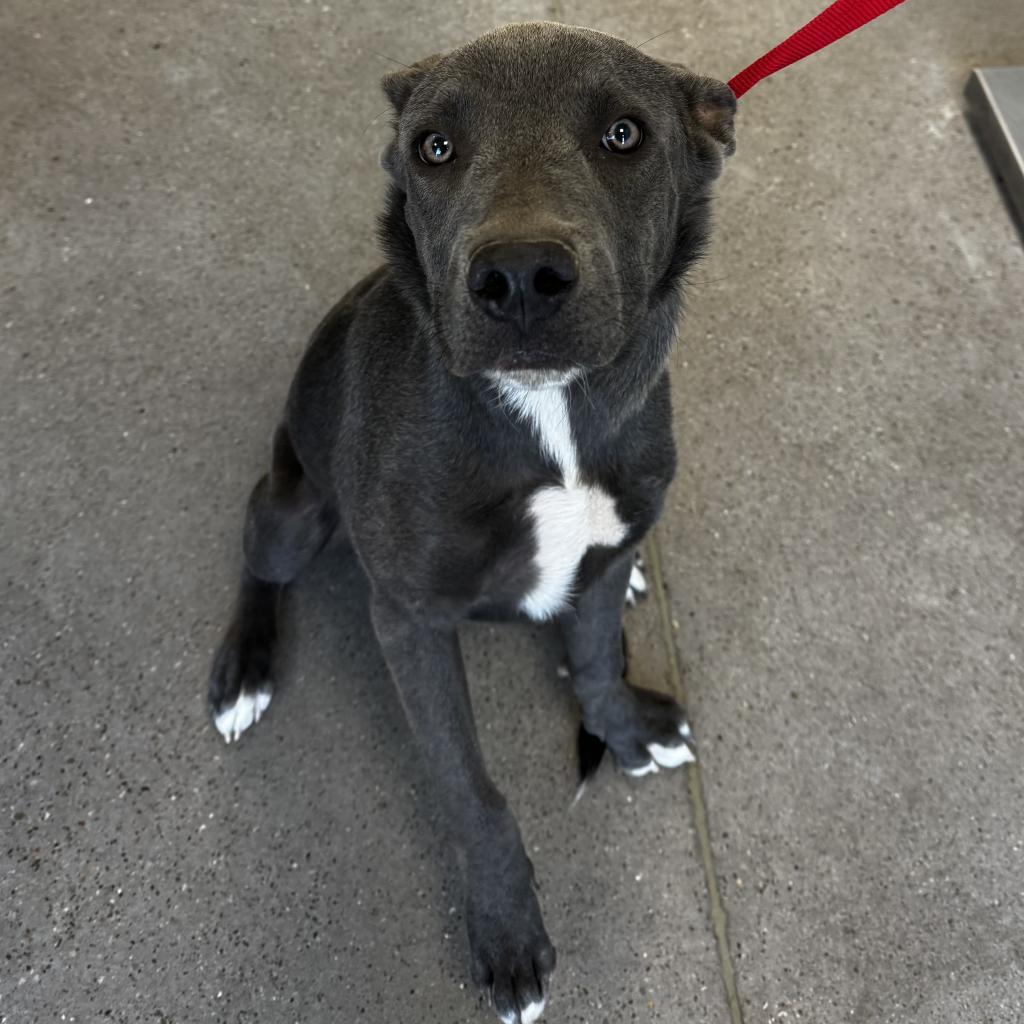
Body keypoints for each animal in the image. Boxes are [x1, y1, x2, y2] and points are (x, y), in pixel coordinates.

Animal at [209, 18, 737, 1024]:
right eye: (435, 148)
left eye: (624, 135)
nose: (521, 278)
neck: (549, 417)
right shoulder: (408, 622)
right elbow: (469, 792)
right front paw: (507, 933)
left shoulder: (606, 551)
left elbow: (597, 662)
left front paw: (625, 729)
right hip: (297, 507)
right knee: (259, 543)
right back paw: (242, 669)